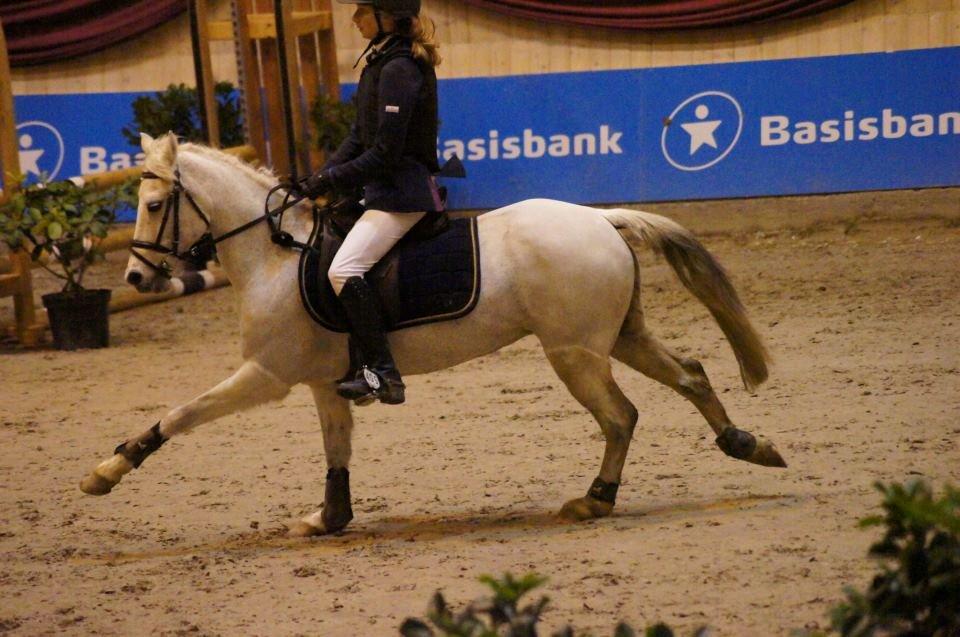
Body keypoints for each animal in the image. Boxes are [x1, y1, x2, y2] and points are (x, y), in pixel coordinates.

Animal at [80, 134, 788, 536]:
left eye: (151, 205)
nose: (138, 277)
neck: (274, 255)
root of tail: (601, 220)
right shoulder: (323, 383)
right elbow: (337, 450)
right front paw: (330, 519)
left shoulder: (268, 375)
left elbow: (182, 413)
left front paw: (108, 470)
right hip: (617, 336)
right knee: (690, 372)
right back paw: (747, 444)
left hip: (575, 353)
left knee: (621, 417)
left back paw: (595, 502)